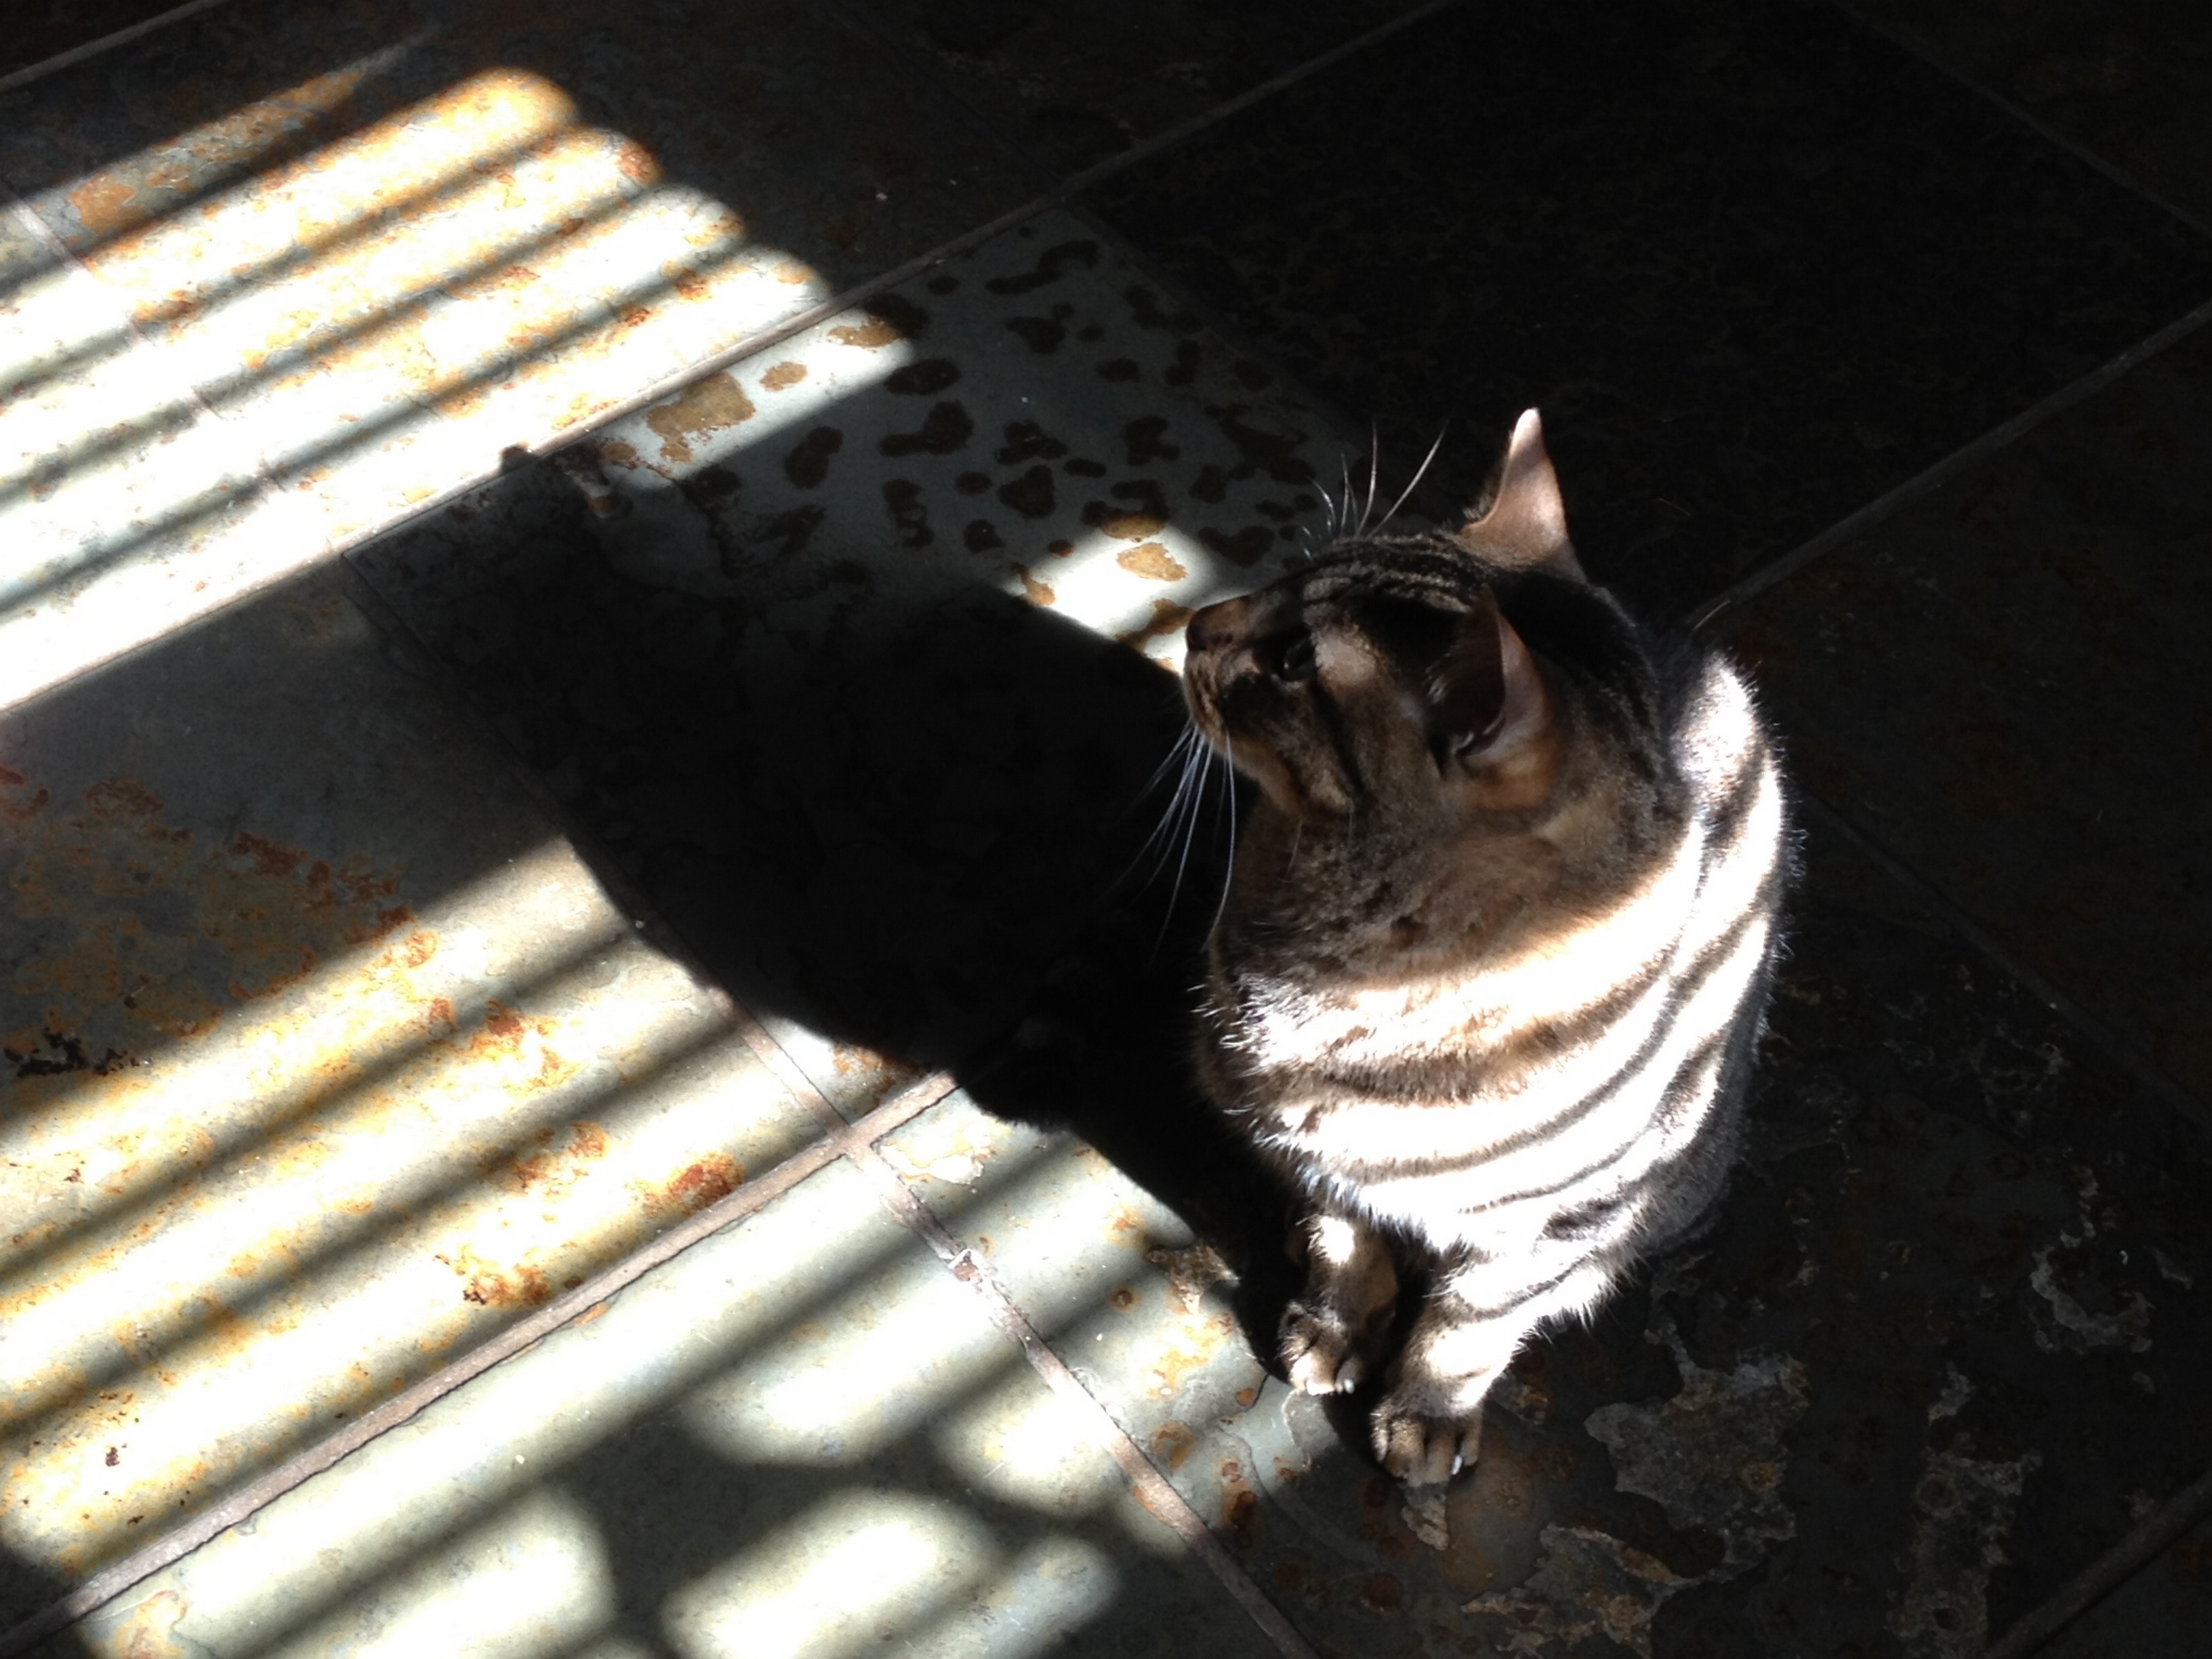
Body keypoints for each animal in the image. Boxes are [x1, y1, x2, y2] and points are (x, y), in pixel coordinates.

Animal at [1181, 410, 1789, 1484]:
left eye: (1294, 660)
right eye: (1290, 571)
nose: (1196, 622)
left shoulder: (1559, 1224)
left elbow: (1469, 1325)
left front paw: (1427, 1408)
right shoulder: (1308, 1149)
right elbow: (1345, 1241)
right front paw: (1336, 1320)